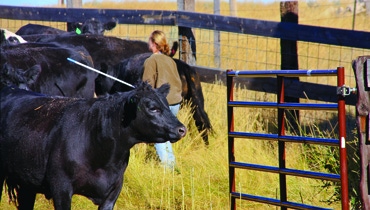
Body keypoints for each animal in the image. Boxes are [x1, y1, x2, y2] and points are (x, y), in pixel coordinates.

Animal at [0, 82, 185, 210]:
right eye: (153, 108)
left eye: (168, 105)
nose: (182, 129)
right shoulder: (61, 188)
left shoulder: (112, 192)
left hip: (27, 181)